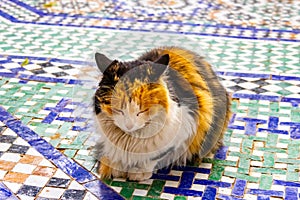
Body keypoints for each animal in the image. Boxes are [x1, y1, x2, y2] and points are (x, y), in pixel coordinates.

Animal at [95, 46, 231, 180]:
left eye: (142, 110)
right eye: (118, 109)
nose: (129, 125)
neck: (130, 139)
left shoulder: (186, 127)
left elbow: (156, 156)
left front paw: (138, 172)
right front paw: (112, 166)